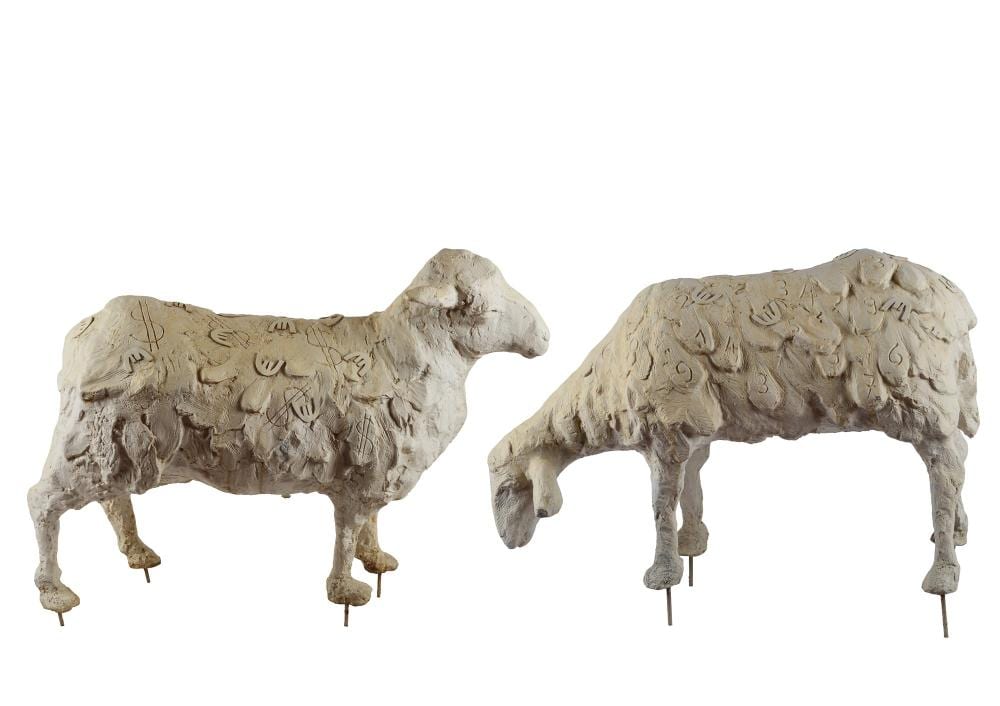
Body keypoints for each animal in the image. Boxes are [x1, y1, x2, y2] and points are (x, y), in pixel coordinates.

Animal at [29, 248, 549, 625]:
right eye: (480, 304)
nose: (544, 336)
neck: (401, 354)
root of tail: (87, 331)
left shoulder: (375, 471)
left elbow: (370, 524)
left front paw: (377, 559)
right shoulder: (356, 476)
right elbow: (346, 534)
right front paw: (345, 590)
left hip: (111, 441)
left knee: (112, 497)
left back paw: (137, 551)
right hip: (83, 439)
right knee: (43, 502)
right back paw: (54, 592)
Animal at [489, 249, 977, 634]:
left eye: (504, 489)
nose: (508, 544)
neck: (608, 380)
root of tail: (956, 305)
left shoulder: (667, 426)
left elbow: (660, 503)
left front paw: (661, 574)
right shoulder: (694, 427)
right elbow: (690, 490)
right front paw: (690, 546)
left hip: (917, 391)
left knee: (946, 464)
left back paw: (943, 572)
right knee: (959, 458)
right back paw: (954, 531)